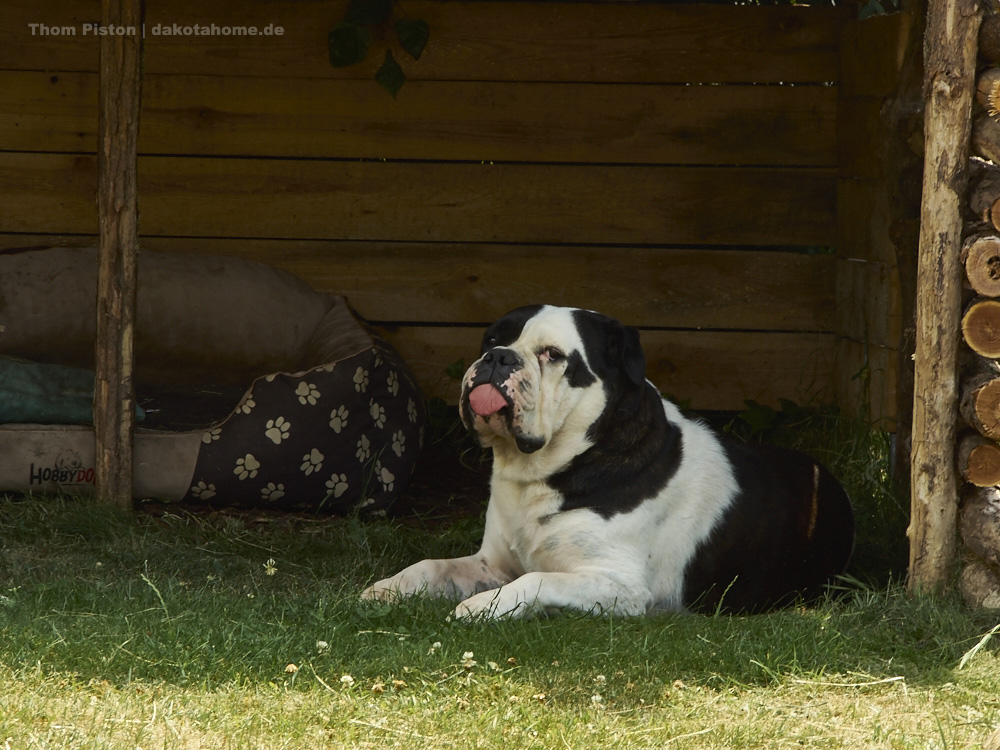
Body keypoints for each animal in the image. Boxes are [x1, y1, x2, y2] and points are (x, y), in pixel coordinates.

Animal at [364, 308, 856, 620]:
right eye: (491, 338)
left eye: (552, 355)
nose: (497, 357)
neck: (546, 472)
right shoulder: (492, 563)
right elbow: (432, 565)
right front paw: (387, 588)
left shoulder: (618, 585)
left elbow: (536, 580)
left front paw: (481, 607)